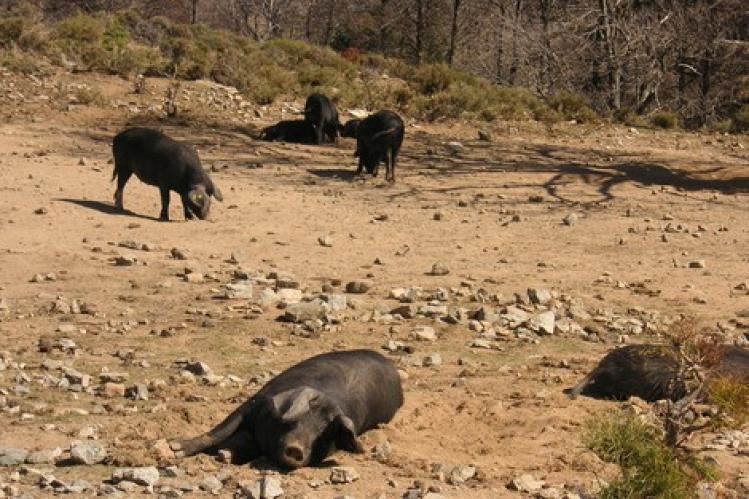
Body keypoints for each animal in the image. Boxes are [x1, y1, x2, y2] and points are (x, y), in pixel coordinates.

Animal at [169, 350, 404, 470]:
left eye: (325, 433)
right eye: (301, 418)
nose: (297, 449)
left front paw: (224, 455)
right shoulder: (254, 403)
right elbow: (219, 431)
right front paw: (174, 449)